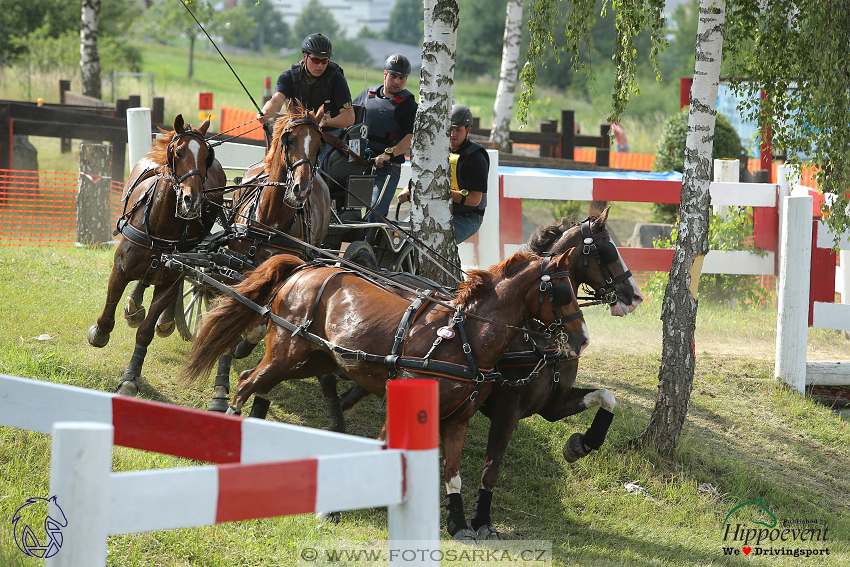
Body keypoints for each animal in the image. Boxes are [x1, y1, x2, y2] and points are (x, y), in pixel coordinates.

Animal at [86, 114, 225, 400]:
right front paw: (99, 333)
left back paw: (164, 319)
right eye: (179, 151)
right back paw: (134, 305)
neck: (161, 227)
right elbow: (108, 313)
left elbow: (145, 332)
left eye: (207, 155)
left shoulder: (170, 281)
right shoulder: (120, 268)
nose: (192, 199)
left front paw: (131, 377)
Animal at [179, 251, 588, 540]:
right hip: (286, 351)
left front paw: (459, 525)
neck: (464, 339)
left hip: (310, 358)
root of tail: (304, 268)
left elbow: (453, 475)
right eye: (563, 290)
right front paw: (338, 505)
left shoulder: (458, 418)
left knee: (256, 381)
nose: (582, 338)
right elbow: (385, 449)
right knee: (247, 383)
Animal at [203, 105, 332, 408]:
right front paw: (220, 389)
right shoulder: (234, 269)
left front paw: (246, 341)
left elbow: (260, 323)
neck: (270, 223)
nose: (301, 190)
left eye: (319, 145)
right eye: (289, 140)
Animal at [318, 206, 644, 540]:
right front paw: (482, 519)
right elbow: (492, 467)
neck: (533, 337)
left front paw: (580, 444)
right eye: (607, 249)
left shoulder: (553, 404)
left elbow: (606, 397)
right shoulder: (507, 409)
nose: (634, 296)